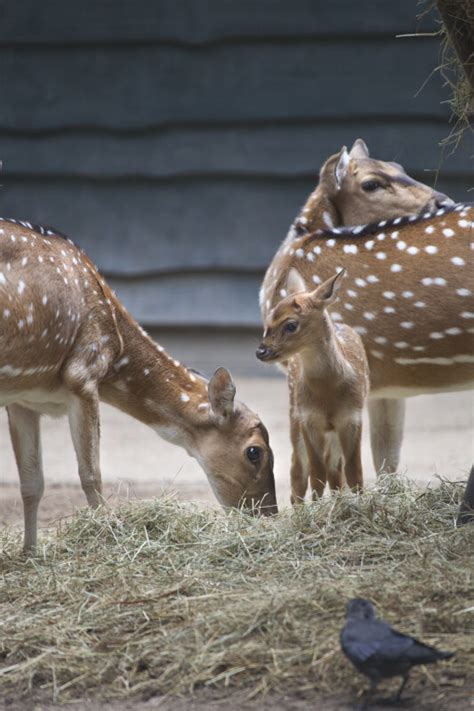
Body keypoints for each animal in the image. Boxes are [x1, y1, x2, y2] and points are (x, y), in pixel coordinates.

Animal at [1, 218, 278, 552]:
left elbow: (31, 483)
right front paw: (109, 538)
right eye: (255, 452)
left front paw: (29, 553)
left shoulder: (23, 399)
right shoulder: (83, 373)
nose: (269, 514)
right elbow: (91, 474)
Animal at [258, 270, 368, 504]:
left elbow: (354, 472)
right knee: (299, 470)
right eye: (268, 321)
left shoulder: (352, 417)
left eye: (291, 324)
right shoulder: (308, 418)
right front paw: (316, 508)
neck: (327, 393)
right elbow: (316, 474)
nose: (261, 351)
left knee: (335, 469)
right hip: (294, 414)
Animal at [262, 142, 472, 476]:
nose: (443, 201)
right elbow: (386, 457)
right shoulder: (383, 385)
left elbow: (317, 460)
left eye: (399, 167)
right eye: (372, 183)